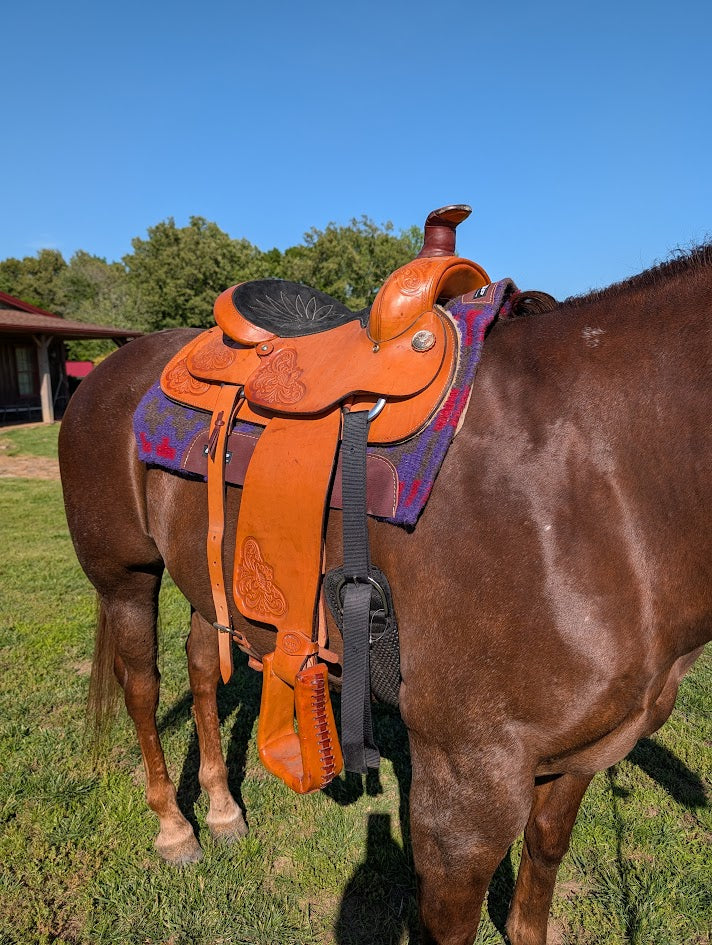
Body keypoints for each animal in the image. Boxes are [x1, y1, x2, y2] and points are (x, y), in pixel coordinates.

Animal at [58, 245, 711, 945]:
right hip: (125, 577)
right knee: (142, 687)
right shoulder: (467, 786)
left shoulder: (580, 758)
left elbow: (540, 867)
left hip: (211, 582)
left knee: (204, 667)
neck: (600, 483)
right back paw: (175, 829)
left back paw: (223, 809)